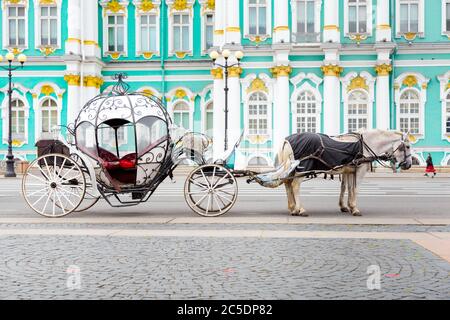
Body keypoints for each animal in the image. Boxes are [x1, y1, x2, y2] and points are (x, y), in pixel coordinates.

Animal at [276, 130, 414, 218]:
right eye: (407, 146)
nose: (408, 165)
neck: (365, 144)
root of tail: (287, 140)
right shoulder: (360, 170)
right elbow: (355, 189)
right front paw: (355, 209)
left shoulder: (348, 171)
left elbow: (346, 188)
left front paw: (346, 207)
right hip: (303, 169)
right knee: (295, 185)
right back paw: (300, 209)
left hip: (292, 169)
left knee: (288, 184)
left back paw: (292, 207)